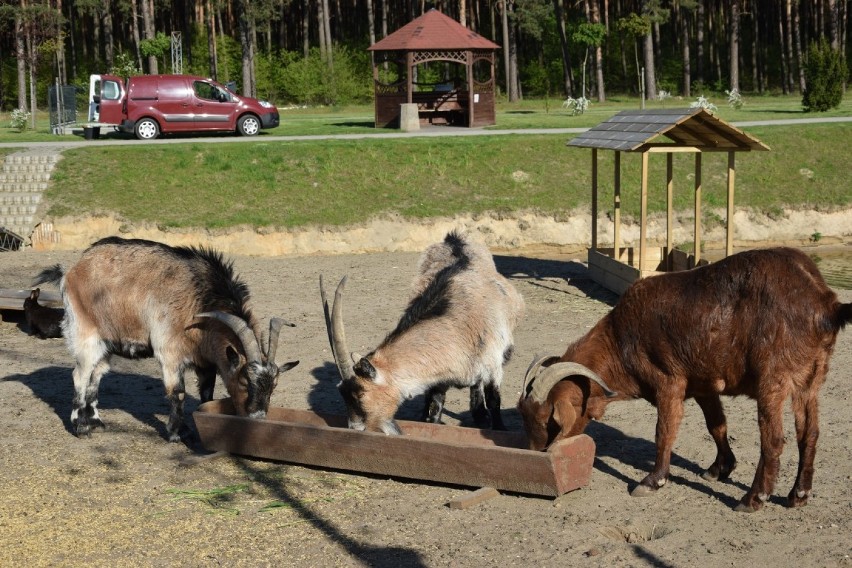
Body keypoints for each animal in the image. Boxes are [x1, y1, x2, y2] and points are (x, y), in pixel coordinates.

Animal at [35, 237, 302, 442]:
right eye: (245, 381)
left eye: (274, 386)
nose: (258, 419)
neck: (199, 302)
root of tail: (71, 270)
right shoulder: (170, 354)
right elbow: (178, 393)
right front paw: (176, 433)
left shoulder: (205, 362)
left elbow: (207, 394)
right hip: (85, 333)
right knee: (80, 375)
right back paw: (81, 427)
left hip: (107, 341)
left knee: (96, 374)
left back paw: (96, 421)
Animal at [520, 246, 852, 512]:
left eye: (549, 420)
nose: (535, 453)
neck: (621, 338)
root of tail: (825, 303)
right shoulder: (704, 384)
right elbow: (717, 425)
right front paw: (720, 468)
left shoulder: (669, 382)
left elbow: (664, 432)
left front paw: (653, 481)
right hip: (810, 380)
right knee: (809, 434)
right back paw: (799, 494)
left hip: (773, 380)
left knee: (773, 439)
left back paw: (753, 499)